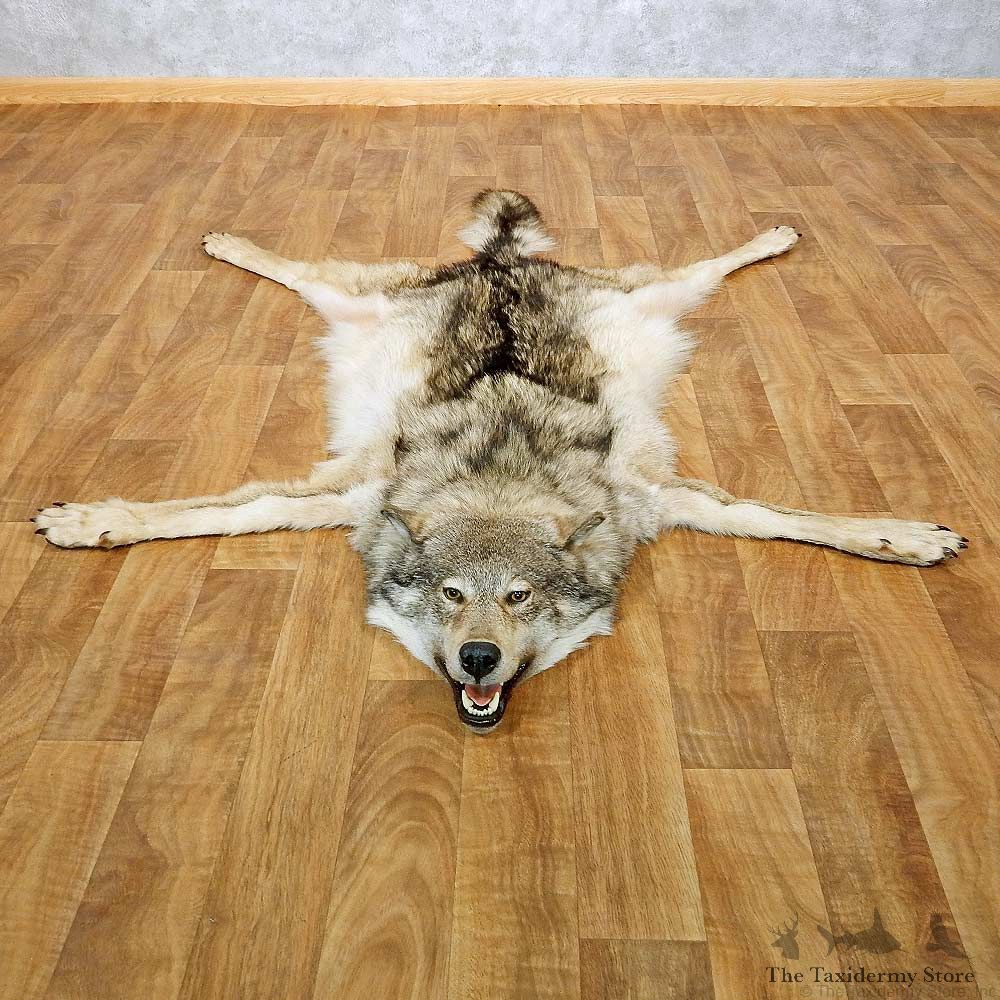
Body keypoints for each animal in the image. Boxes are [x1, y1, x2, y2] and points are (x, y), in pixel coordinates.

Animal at [33, 190, 968, 731]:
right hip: (354, 300)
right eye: (451, 596)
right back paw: (230, 241)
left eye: (519, 597)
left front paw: (905, 536)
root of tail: (500, 262)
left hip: (654, 297)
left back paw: (770, 234)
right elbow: (208, 511)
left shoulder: (653, 494)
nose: (478, 659)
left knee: (705, 260)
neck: (499, 481)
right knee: (298, 266)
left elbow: (792, 517)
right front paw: (91, 520)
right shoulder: (357, 491)